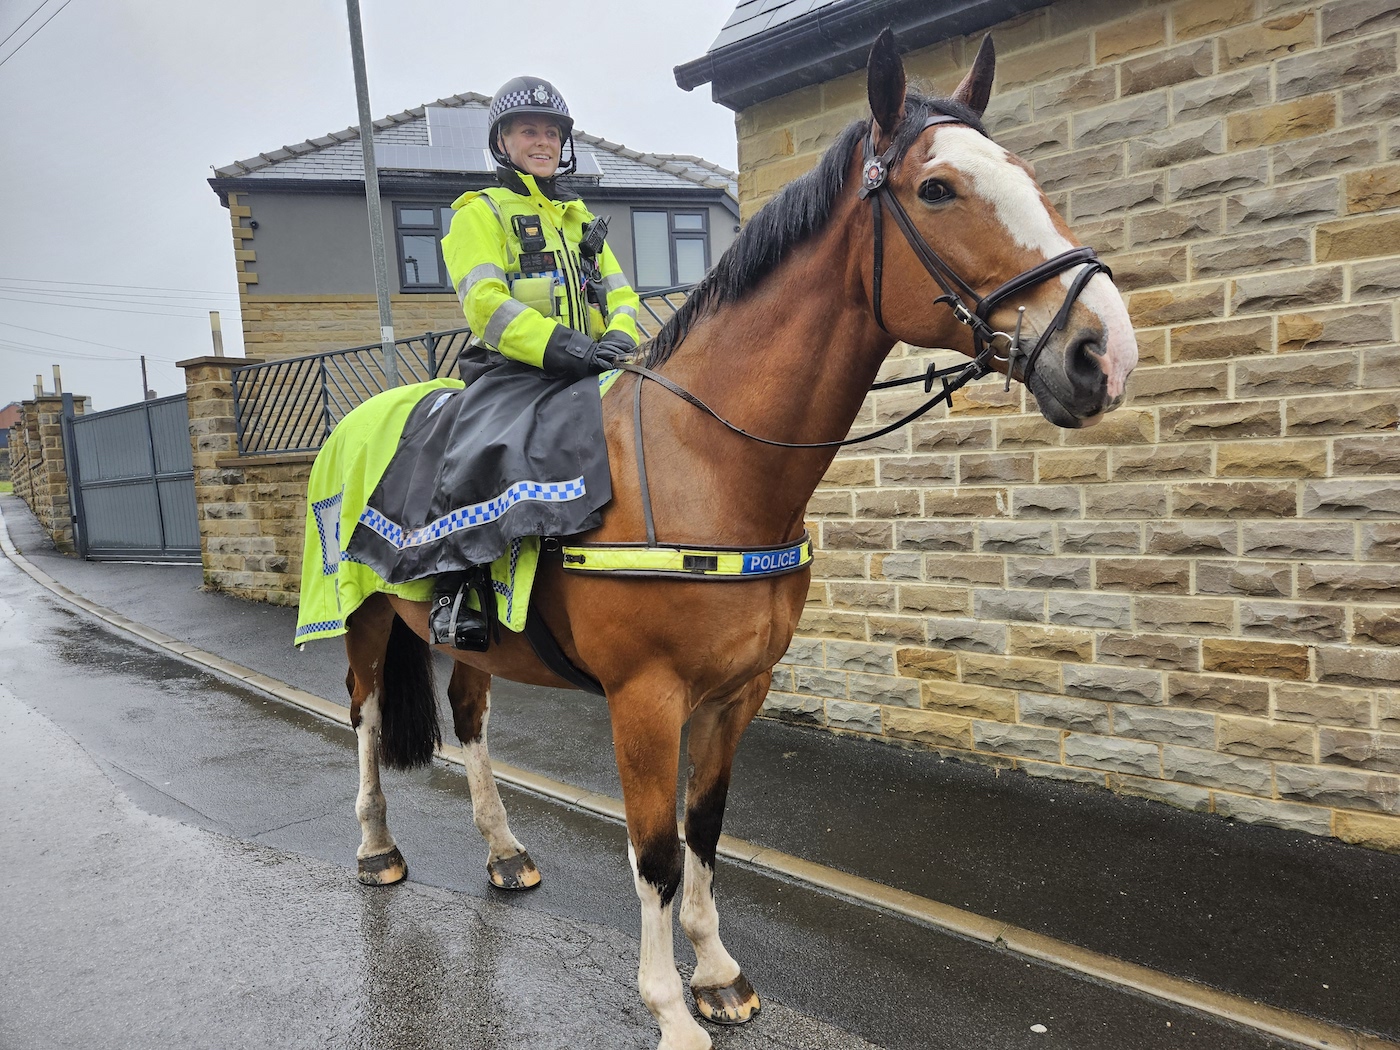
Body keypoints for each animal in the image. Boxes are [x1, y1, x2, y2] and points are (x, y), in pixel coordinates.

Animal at [339, 30, 1138, 1050]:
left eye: (1027, 175)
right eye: (937, 189)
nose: (1103, 353)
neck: (709, 461)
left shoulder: (735, 695)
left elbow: (705, 834)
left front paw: (717, 974)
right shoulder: (644, 702)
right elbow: (653, 851)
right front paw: (670, 1008)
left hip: (470, 638)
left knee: (469, 716)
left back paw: (505, 852)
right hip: (361, 621)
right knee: (365, 721)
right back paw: (376, 847)